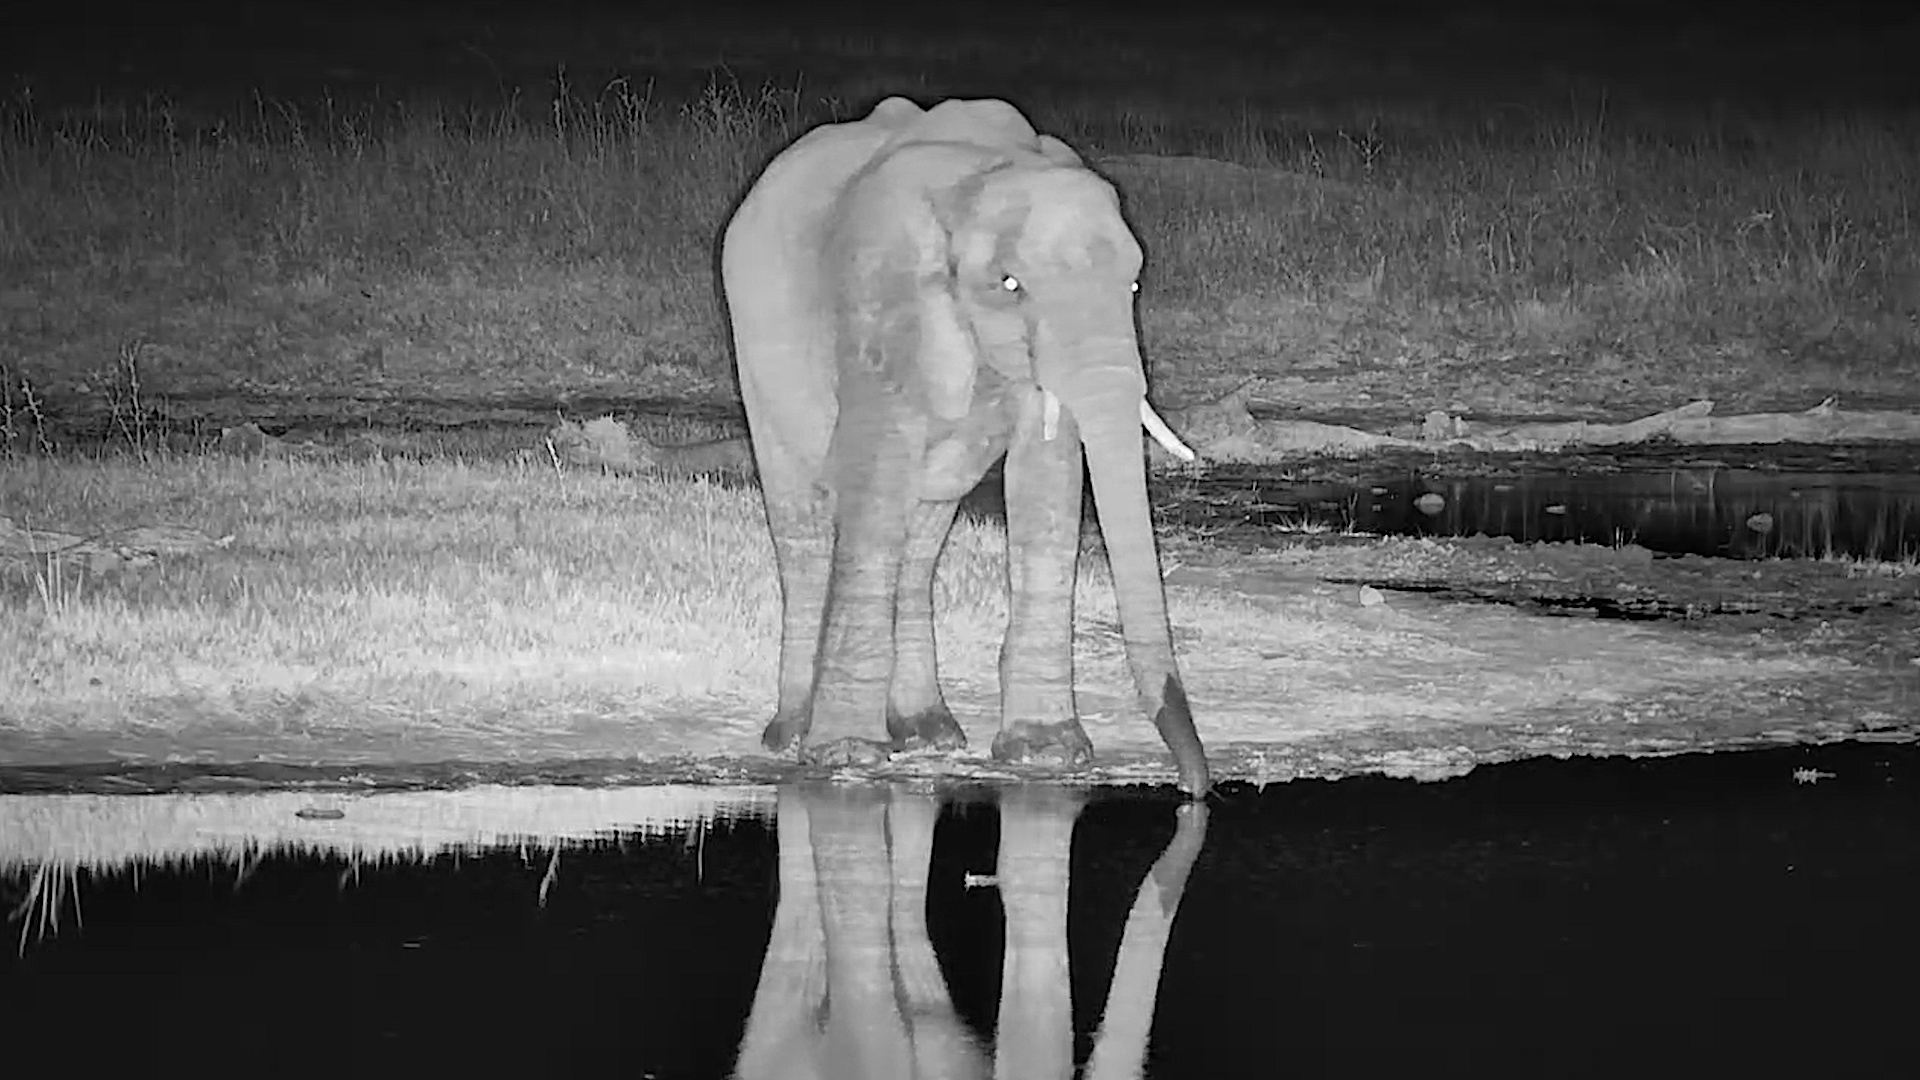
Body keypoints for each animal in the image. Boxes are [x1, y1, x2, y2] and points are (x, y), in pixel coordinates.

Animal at [720, 96, 1211, 797]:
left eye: (1135, 288)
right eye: (1009, 286)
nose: (1194, 790)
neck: (986, 176)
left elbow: (1048, 479)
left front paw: (1046, 755)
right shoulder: (881, 301)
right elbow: (875, 480)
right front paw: (846, 756)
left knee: (921, 534)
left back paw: (927, 734)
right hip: (757, 355)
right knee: (807, 527)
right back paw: (792, 737)